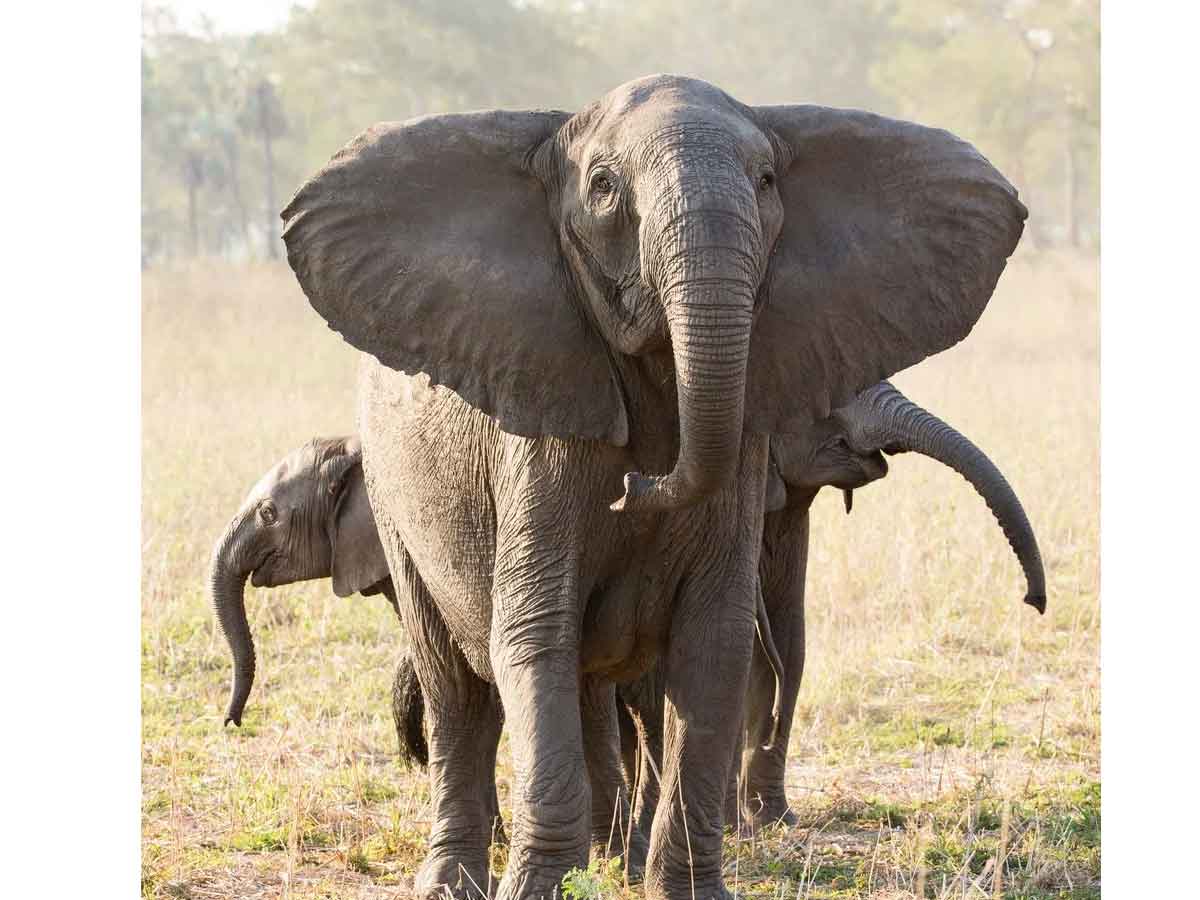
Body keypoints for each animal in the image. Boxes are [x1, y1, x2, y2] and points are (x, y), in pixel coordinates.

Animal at [279, 74, 1027, 900]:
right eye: (603, 186)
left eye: (768, 182)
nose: (640, 481)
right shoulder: (537, 440)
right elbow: (534, 632)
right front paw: (542, 890)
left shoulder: (745, 453)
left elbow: (716, 645)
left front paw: (687, 889)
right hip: (390, 495)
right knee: (456, 690)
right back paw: (455, 881)